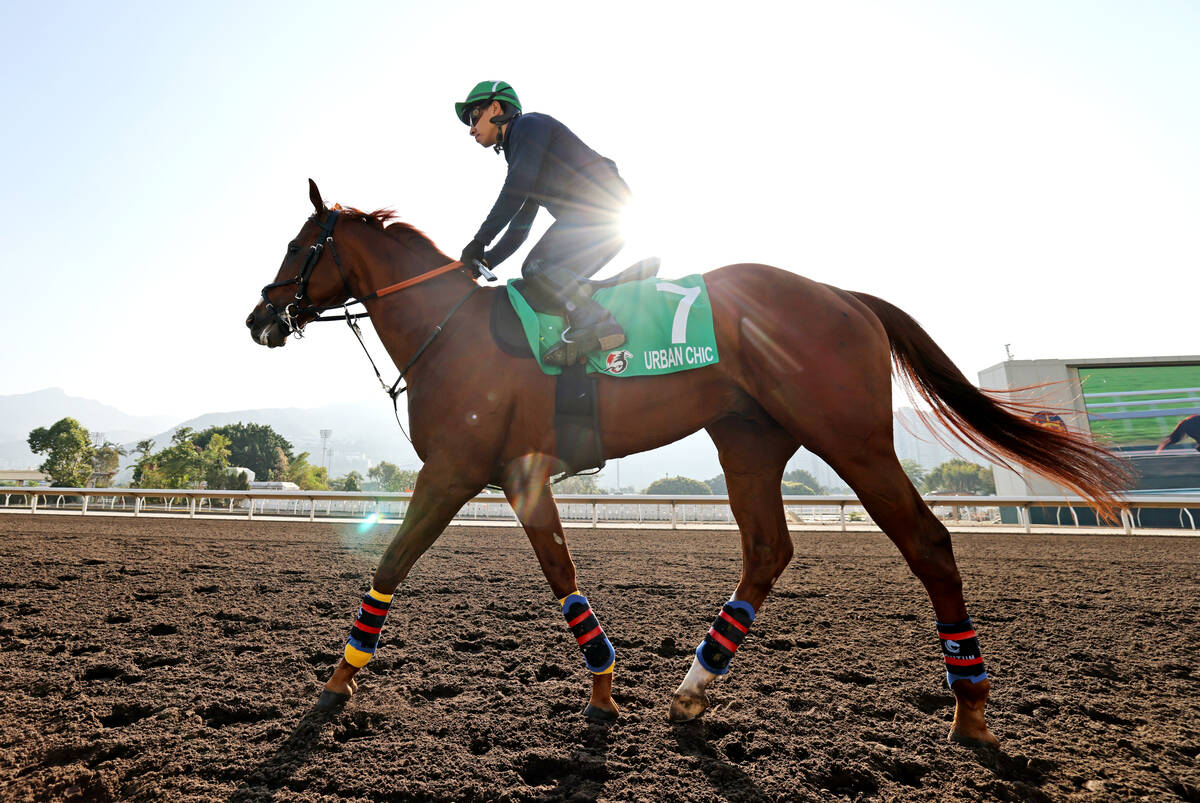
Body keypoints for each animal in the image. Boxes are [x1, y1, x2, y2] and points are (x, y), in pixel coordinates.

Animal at [246, 180, 1127, 747]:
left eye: (298, 245)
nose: (259, 316)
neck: (450, 327)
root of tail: (845, 295)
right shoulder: (520, 475)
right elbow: (560, 572)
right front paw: (604, 687)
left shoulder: (456, 470)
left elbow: (392, 559)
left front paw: (338, 678)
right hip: (748, 439)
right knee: (768, 548)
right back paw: (693, 689)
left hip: (852, 438)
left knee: (928, 541)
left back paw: (970, 708)